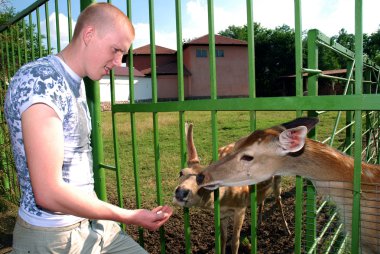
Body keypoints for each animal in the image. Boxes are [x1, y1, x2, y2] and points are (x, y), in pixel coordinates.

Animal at [173, 123, 290, 254]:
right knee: (262, 199)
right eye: (181, 172)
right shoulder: (222, 214)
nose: (181, 192)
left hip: (278, 180)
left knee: (278, 200)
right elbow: (223, 238)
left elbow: (235, 242)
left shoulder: (240, 208)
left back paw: (287, 230)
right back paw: (259, 223)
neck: (225, 199)